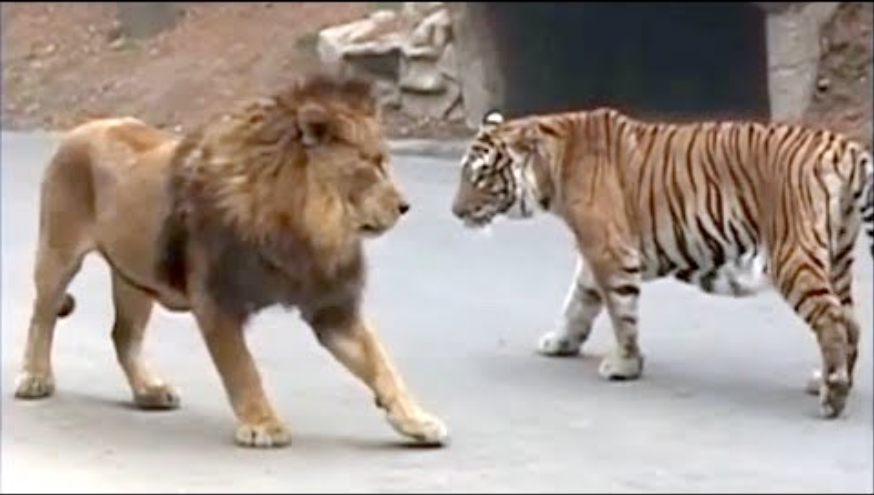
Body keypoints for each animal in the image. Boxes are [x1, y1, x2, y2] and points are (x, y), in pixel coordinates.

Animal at [450, 107, 874, 419]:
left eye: (482, 175)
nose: (455, 211)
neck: (552, 166)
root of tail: (845, 147)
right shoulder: (594, 254)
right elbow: (578, 302)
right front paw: (560, 342)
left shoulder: (610, 251)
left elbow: (621, 312)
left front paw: (624, 364)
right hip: (838, 256)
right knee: (850, 320)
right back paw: (828, 381)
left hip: (792, 254)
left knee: (831, 317)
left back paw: (833, 397)